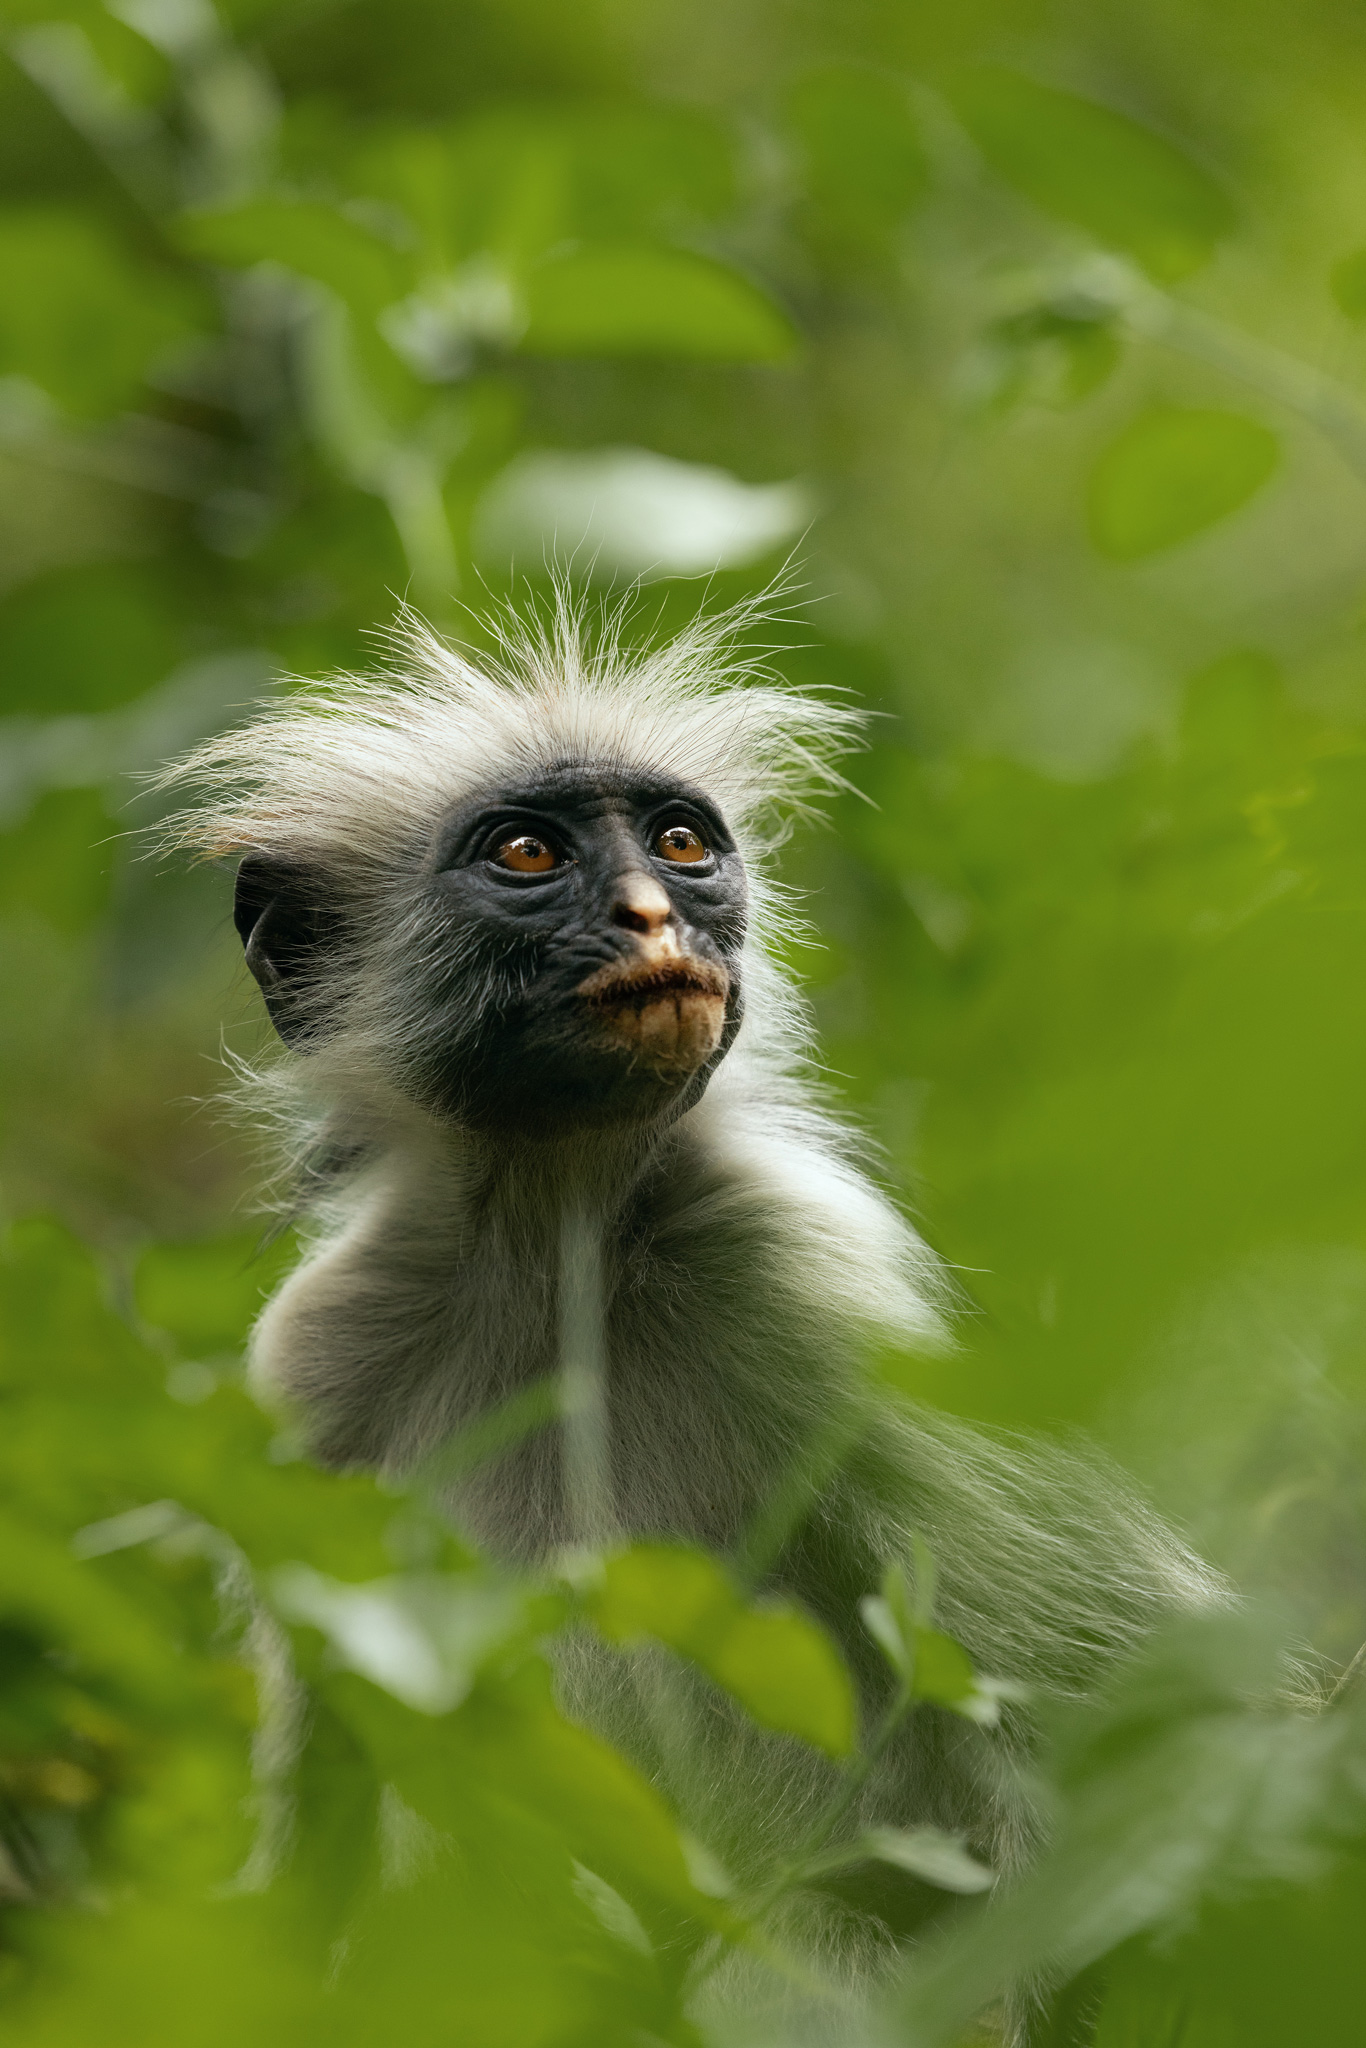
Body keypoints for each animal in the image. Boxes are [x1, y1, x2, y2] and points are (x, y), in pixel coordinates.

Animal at [157, 598, 1220, 2023]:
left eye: (677, 843)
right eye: (528, 852)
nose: (655, 912)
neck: (558, 1234)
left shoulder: (811, 1267)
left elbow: (1159, 1708)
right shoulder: (313, 1360)